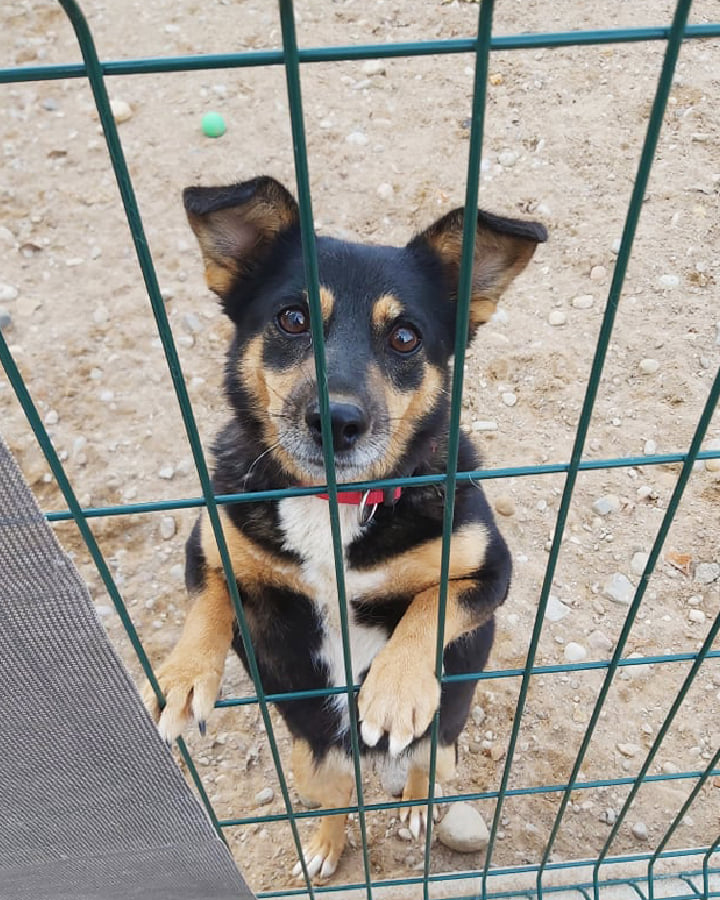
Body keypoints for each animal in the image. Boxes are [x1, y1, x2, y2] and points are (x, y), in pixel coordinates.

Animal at [143, 176, 546, 879]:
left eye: (406, 337)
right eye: (292, 318)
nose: (336, 421)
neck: (331, 501)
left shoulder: (488, 569)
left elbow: (436, 602)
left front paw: (393, 689)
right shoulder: (209, 544)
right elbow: (210, 598)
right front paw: (182, 675)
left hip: (442, 743)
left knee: (423, 770)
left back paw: (413, 805)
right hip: (311, 763)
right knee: (335, 803)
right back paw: (324, 847)